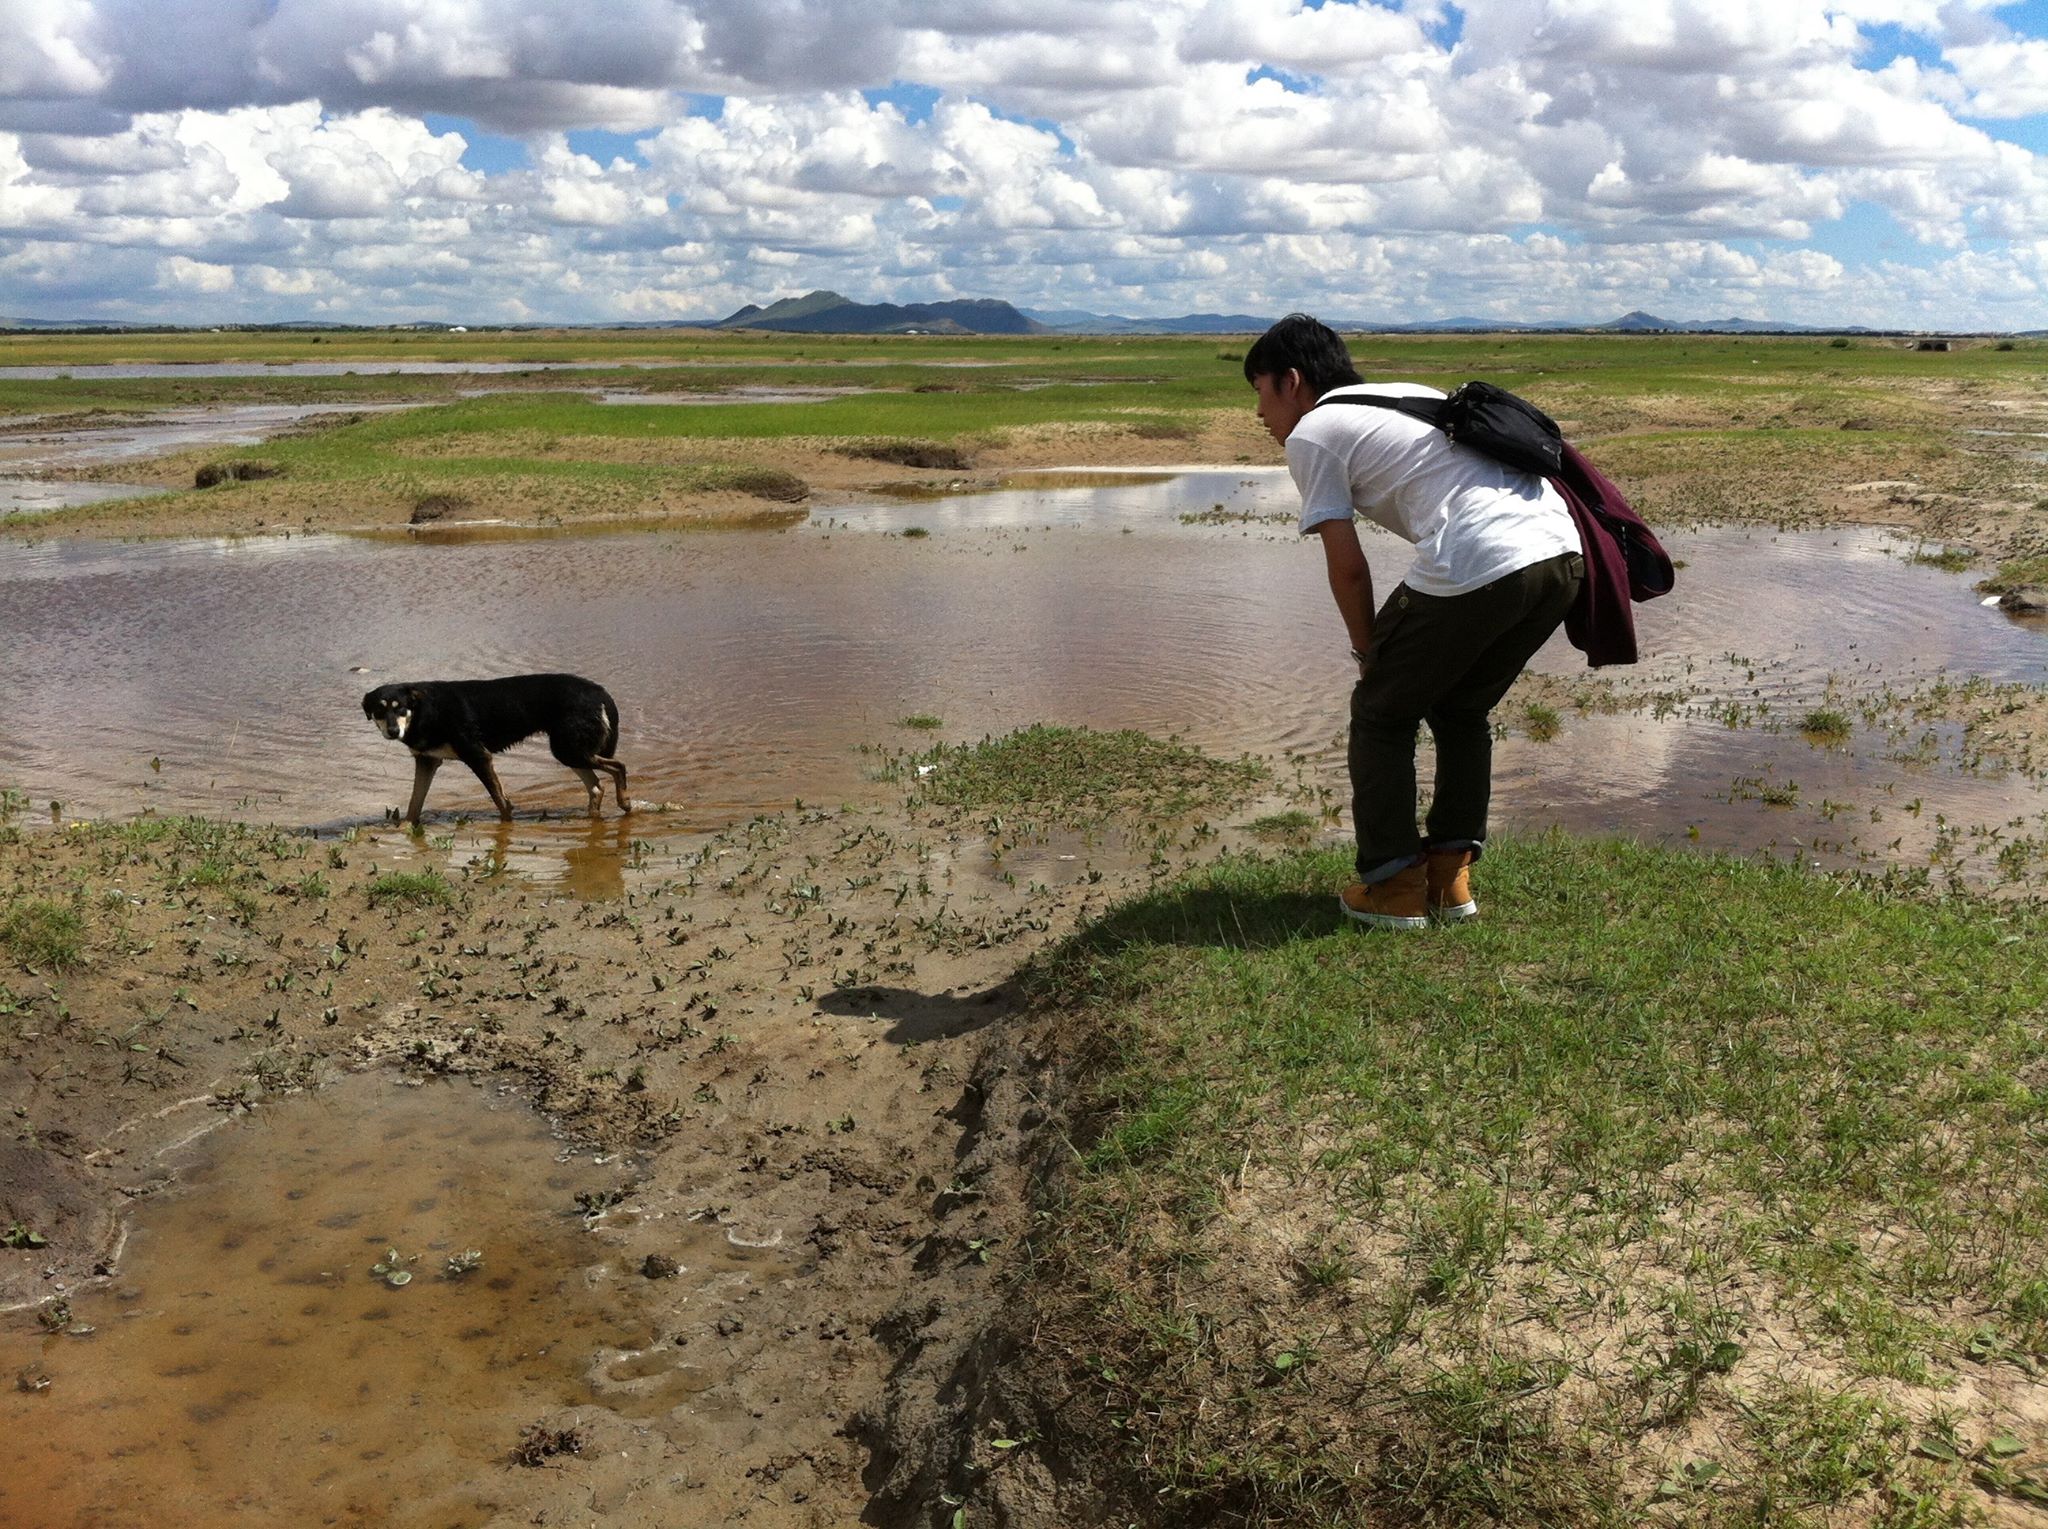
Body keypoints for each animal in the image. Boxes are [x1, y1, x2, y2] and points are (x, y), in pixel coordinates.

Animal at [364, 675, 626, 831]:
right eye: (379, 710)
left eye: (401, 708)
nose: (393, 731)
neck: (424, 710)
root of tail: (600, 692)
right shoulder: (427, 761)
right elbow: (414, 803)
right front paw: (406, 829)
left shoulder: (478, 756)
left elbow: (500, 800)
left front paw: (506, 827)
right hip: (570, 749)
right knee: (596, 786)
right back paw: (593, 817)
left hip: (567, 748)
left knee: (618, 767)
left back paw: (625, 802)